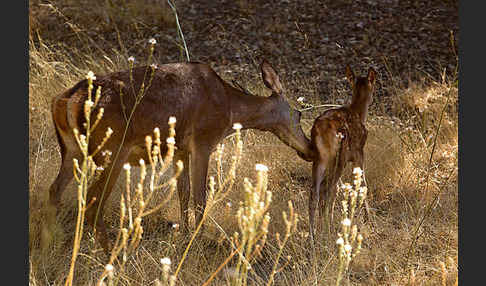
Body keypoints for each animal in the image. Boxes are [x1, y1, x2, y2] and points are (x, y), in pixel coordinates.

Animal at [47, 59, 314, 251]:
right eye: (299, 114)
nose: (310, 149)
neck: (229, 110)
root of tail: (66, 99)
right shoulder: (203, 141)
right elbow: (200, 197)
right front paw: (197, 238)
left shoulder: (179, 150)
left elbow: (183, 194)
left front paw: (184, 235)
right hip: (112, 150)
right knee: (93, 203)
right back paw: (113, 253)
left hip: (72, 150)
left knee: (55, 189)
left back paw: (57, 239)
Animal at [308, 66, 376, 242]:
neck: (358, 113)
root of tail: (320, 128)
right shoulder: (358, 152)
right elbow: (363, 184)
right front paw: (369, 220)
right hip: (341, 155)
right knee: (327, 189)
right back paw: (326, 229)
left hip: (321, 158)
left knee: (315, 191)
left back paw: (313, 235)